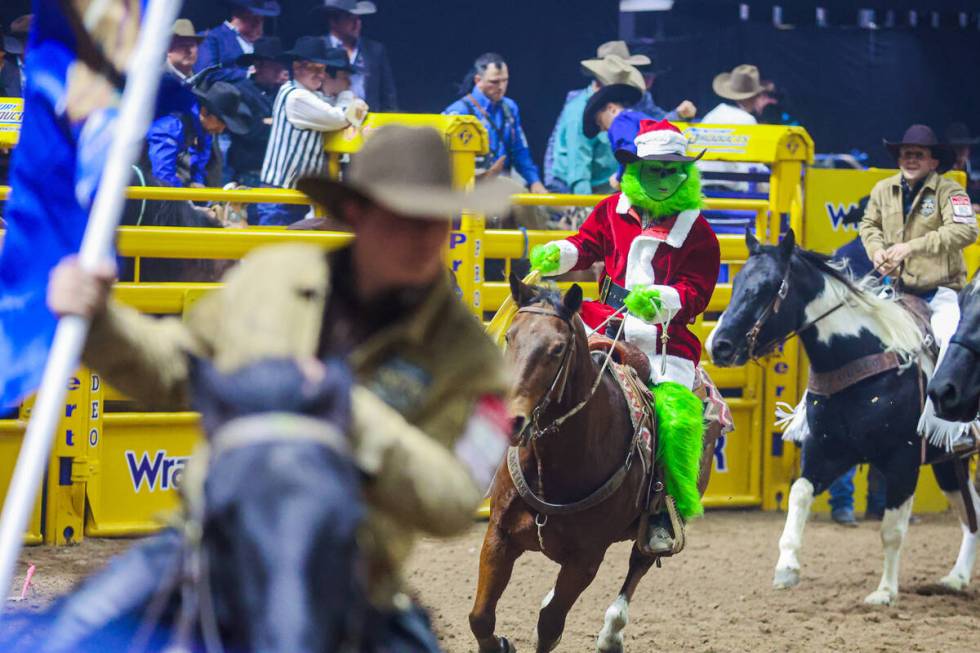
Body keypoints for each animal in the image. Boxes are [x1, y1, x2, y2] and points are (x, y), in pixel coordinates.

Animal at [470, 278, 716, 652]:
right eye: (510, 336)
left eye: (558, 349)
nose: (510, 420)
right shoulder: (499, 536)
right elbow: (481, 617)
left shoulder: (585, 560)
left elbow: (550, 625)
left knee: (638, 564)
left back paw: (612, 632)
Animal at [708, 230, 976, 608]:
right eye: (735, 284)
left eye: (768, 287)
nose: (719, 346)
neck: (862, 356)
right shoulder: (826, 452)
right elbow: (799, 494)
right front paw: (786, 567)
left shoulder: (903, 460)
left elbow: (892, 530)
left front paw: (885, 591)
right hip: (949, 464)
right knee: (972, 515)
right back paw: (956, 578)